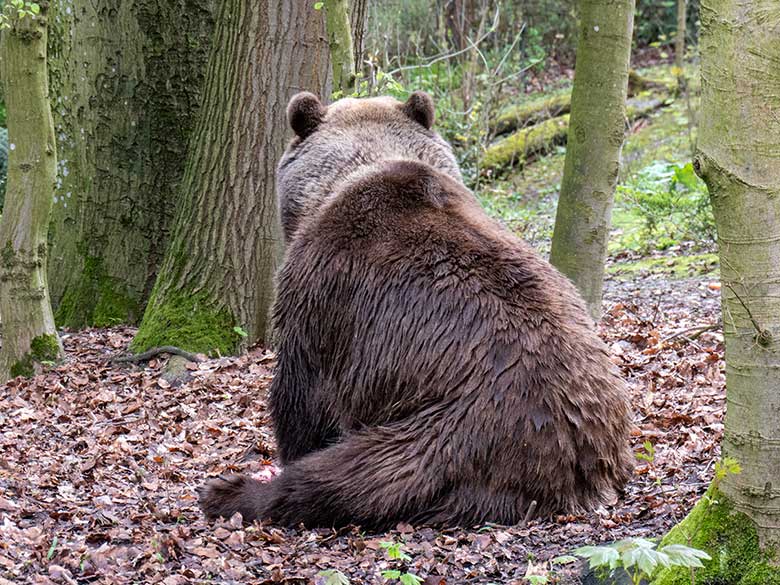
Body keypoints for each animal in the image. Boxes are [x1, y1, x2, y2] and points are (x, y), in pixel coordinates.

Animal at [197, 90, 632, 528]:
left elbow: (303, 394)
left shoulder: (323, 291)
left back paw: (229, 492)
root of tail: (575, 461)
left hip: (448, 432)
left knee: (355, 475)